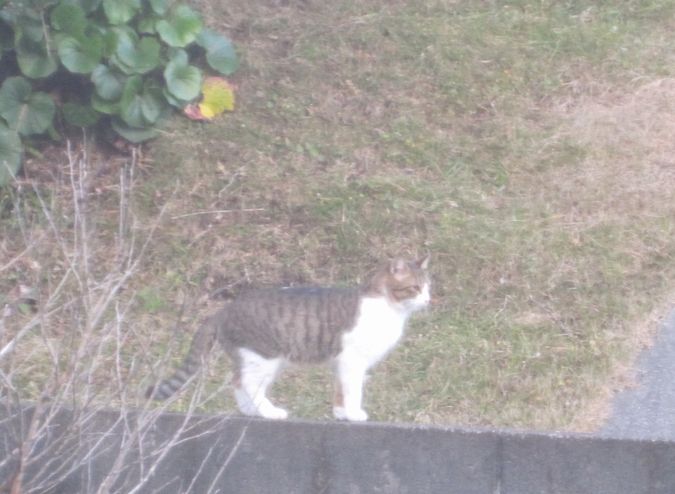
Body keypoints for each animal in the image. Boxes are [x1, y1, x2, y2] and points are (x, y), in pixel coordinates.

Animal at [148, 255, 434, 420]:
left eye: (428, 287)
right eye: (415, 288)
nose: (428, 300)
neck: (388, 307)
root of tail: (223, 310)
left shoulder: (342, 364)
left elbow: (339, 390)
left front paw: (341, 413)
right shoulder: (353, 361)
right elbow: (353, 391)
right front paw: (354, 413)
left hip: (258, 360)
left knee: (237, 381)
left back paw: (251, 411)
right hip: (264, 357)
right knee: (247, 383)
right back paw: (270, 412)